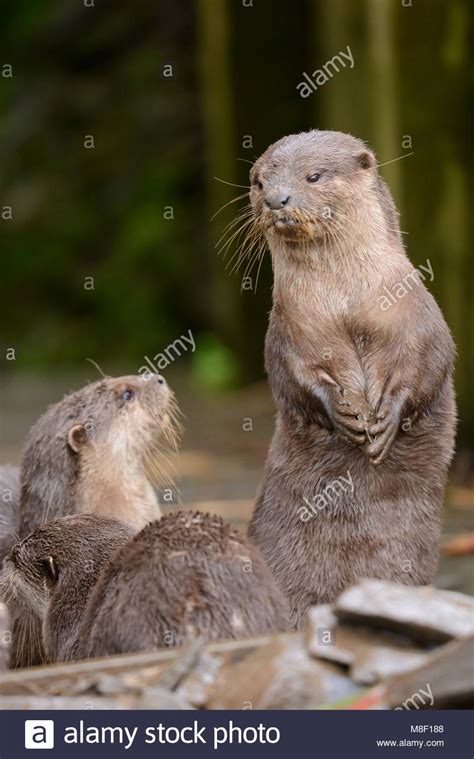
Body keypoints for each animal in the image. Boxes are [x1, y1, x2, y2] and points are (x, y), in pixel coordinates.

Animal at [244, 132, 456, 628]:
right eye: (259, 180)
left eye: (314, 176)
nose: (276, 198)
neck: (345, 305)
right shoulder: (289, 332)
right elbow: (292, 379)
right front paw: (341, 415)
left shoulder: (417, 316)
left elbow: (429, 365)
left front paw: (386, 421)